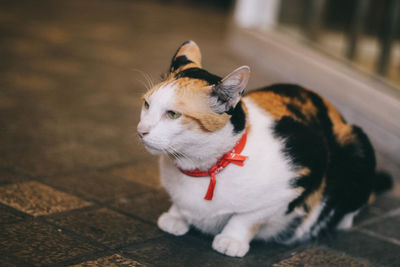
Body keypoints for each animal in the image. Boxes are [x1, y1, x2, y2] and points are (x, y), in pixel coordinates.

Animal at [137, 41, 390, 258]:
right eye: (147, 104)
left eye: (173, 114)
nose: (141, 130)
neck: (205, 169)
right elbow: (180, 206)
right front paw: (175, 216)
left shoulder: (295, 181)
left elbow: (247, 218)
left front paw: (231, 240)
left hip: (357, 144)